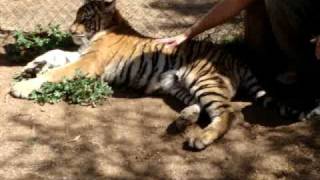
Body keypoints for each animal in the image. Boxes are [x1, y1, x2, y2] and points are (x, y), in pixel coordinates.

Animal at [11, 0, 308, 150]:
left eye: (84, 18)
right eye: (76, 16)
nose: (71, 30)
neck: (105, 28)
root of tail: (235, 58)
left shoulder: (89, 63)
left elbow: (58, 71)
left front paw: (25, 86)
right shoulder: (82, 55)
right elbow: (55, 53)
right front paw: (31, 67)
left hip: (203, 79)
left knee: (229, 113)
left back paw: (200, 139)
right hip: (177, 83)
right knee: (202, 107)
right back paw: (183, 119)